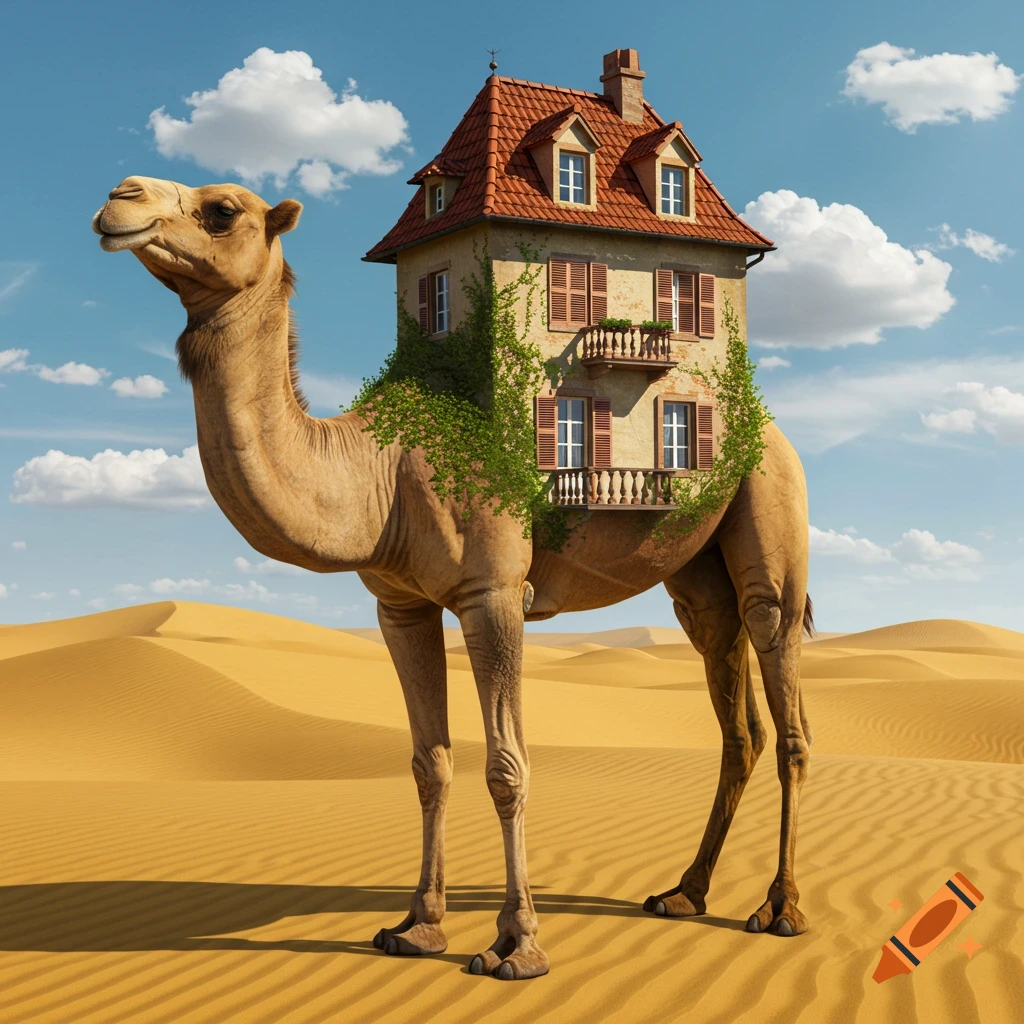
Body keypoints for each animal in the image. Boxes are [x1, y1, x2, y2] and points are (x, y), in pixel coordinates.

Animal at [92, 176, 814, 981]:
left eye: (222, 211)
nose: (119, 199)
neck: (380, 468)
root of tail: (770, 430)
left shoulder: (492, 592)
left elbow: (507, 765)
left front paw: (516, 944)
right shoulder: (400, 606)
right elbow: (429, 763)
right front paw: (418, 925)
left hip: (771, 517)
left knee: (785, 699)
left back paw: (780, 909)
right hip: (696, 578)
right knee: (735, 715)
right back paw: (684, 893)